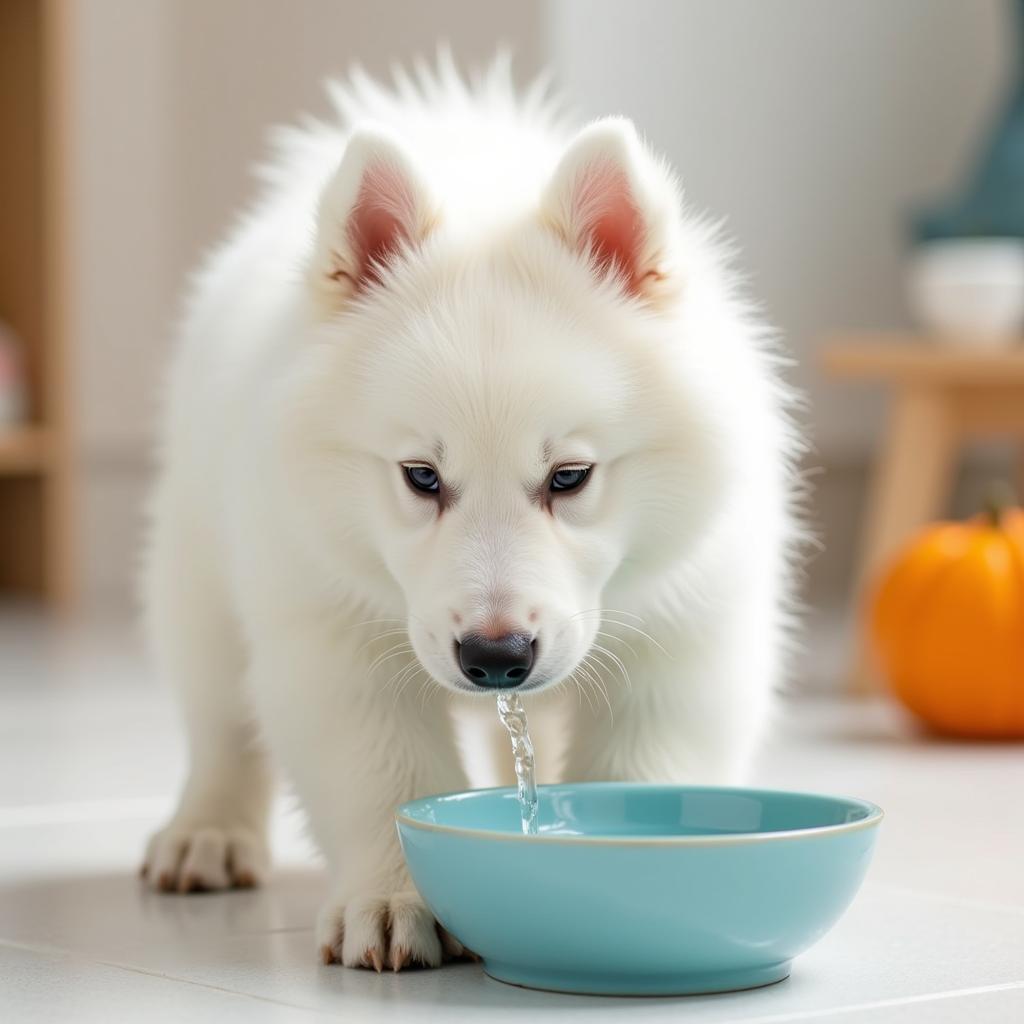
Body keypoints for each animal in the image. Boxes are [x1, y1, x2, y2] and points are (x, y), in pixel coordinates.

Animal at [142, 58, 798, 974]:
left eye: (570, 476)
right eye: (421, 476)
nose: (496, 658)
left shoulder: (686, 633)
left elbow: (643, 759)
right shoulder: (330, 631)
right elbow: (382, 773)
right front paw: (394, 899)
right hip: (198, 574)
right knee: (220, 722)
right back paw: (205, 833)